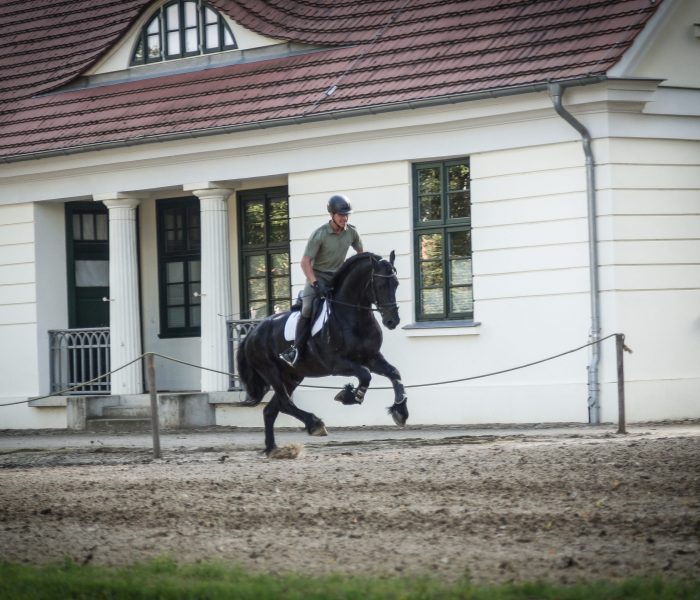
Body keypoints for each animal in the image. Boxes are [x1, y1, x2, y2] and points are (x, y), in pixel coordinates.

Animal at [237, 251, 408, 452]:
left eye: (396, 284)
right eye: (380, 285)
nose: (392, 321)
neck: (354, 316)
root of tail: (251, 333)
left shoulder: (371, 358)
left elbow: (394, 373)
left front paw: (400, 410)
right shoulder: (337, 364)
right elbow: (365, 375)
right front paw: (350, 396)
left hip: (292, 376)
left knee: (271, 409)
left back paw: (272, 449)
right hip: (271, 372)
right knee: (286, 403)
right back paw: (315, 424)